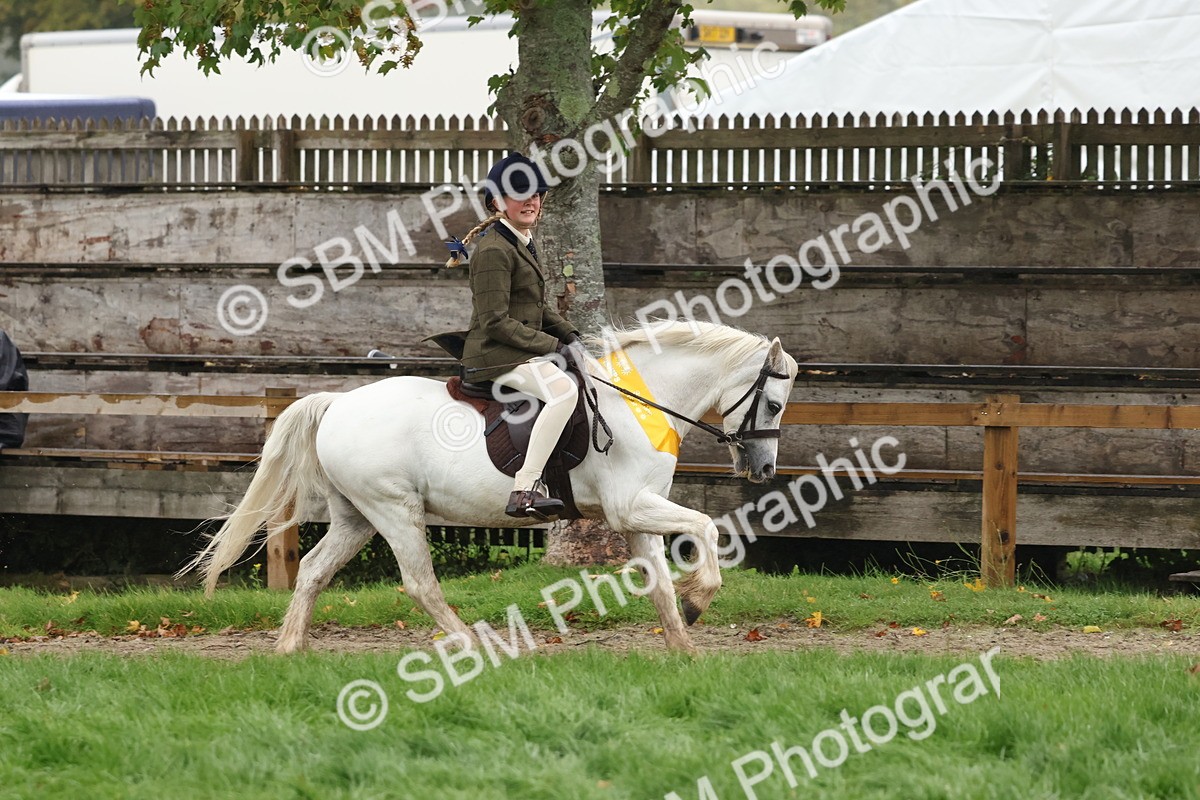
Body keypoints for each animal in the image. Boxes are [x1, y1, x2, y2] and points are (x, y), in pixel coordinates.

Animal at [186, 321, 799, 654]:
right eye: (772, 404)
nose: (764, 471)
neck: (637, 403)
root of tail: (337, 403)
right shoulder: (630, 507)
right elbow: (706, 528)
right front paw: (699, 602)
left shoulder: (638, 514)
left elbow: (661, 586)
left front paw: (684, 643)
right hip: (395, 510)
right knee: (420, 583)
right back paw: (470, 644)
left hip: (357, 516)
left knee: (314, 570)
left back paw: (290, 647)